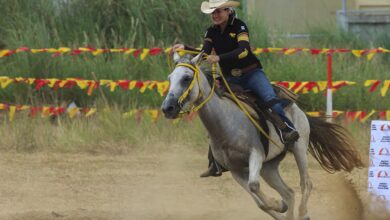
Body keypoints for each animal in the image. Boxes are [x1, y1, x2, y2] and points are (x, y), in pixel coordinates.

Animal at [160, 52, 364, 219]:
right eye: (170, 78)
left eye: (186, 78)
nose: (167, 108)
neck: (225, 123)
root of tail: (299, 109)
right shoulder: (235, 169)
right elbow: (259, 201)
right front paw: (279, 205)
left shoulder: (255, 154)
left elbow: (254, 187)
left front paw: (278, 204)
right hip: (269, 166)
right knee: (289, 192)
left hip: (299, 148)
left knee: (306, 183)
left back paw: (304, 213)